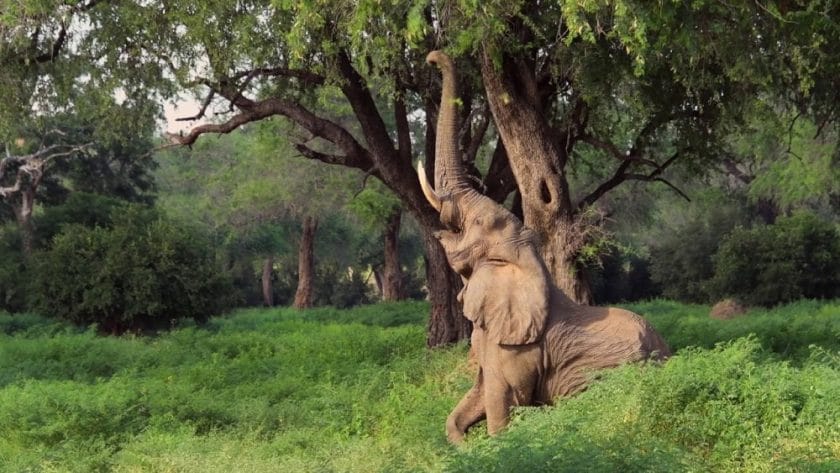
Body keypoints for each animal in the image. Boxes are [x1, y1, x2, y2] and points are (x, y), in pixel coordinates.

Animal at [420, 50, 668, 442]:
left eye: (479, 223)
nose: (432, 58)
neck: (525, 262)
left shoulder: (518, 348)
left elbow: (502, 403)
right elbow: (473, 400)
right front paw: (462, 441)